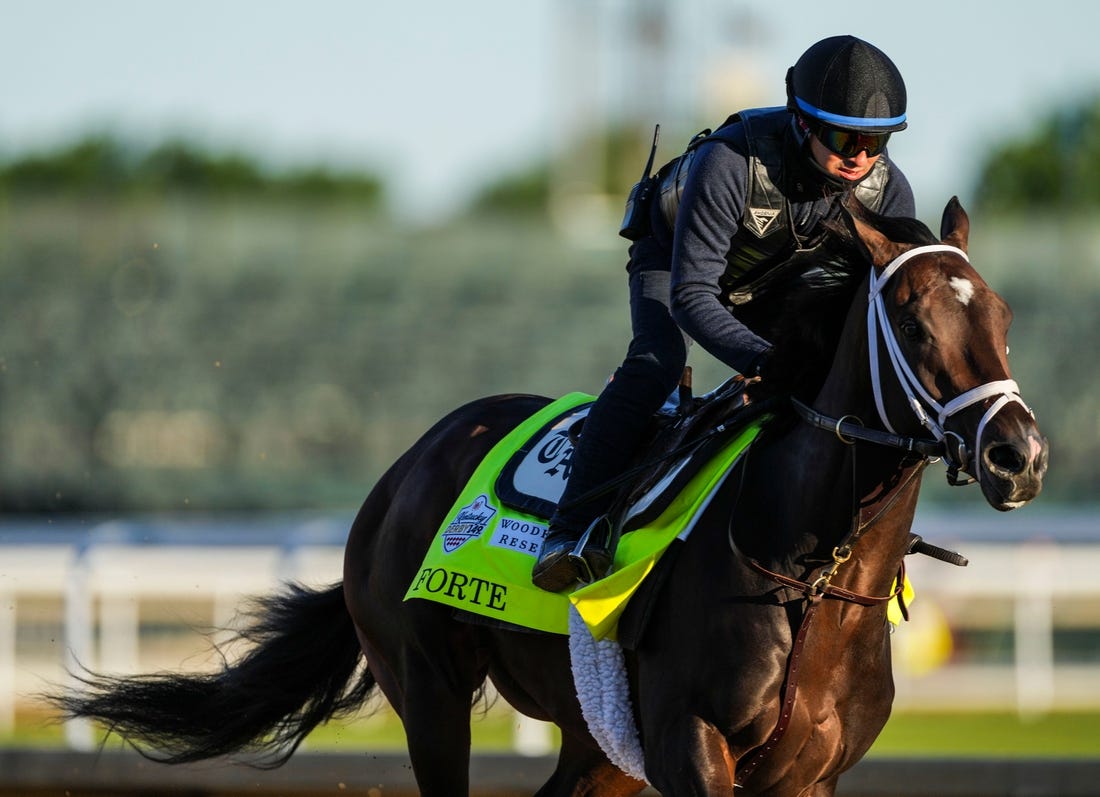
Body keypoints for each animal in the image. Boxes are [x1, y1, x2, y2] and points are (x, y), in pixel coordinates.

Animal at [51, 195, 1047, 791]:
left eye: (1002, 317)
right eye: (912, 322)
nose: (1019, 454)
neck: (808, 574)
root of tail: (405, 468)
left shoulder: (807, 771)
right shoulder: (691, 746)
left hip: (594, 736)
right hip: (430, 687)